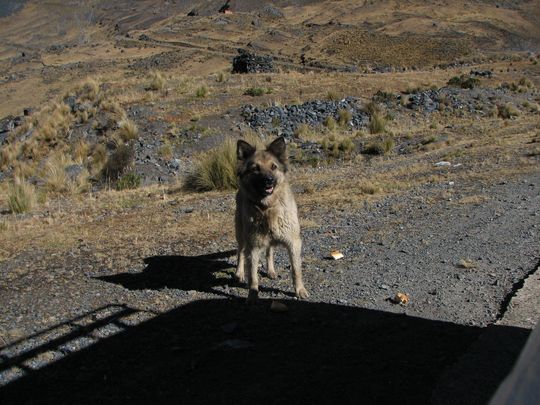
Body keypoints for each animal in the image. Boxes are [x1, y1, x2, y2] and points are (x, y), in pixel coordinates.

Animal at [235, 137, 310, 302]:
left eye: (273, 166)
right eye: (255, 168)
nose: (268, 180)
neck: (268, 207)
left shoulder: (293, 242)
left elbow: (296, 270)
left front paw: (300, 290)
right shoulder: (253, 247)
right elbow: (253, 276)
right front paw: (252, 295)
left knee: (269, 251)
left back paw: (271, 270)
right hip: (241, 234)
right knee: (240, 252)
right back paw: (239, 273)